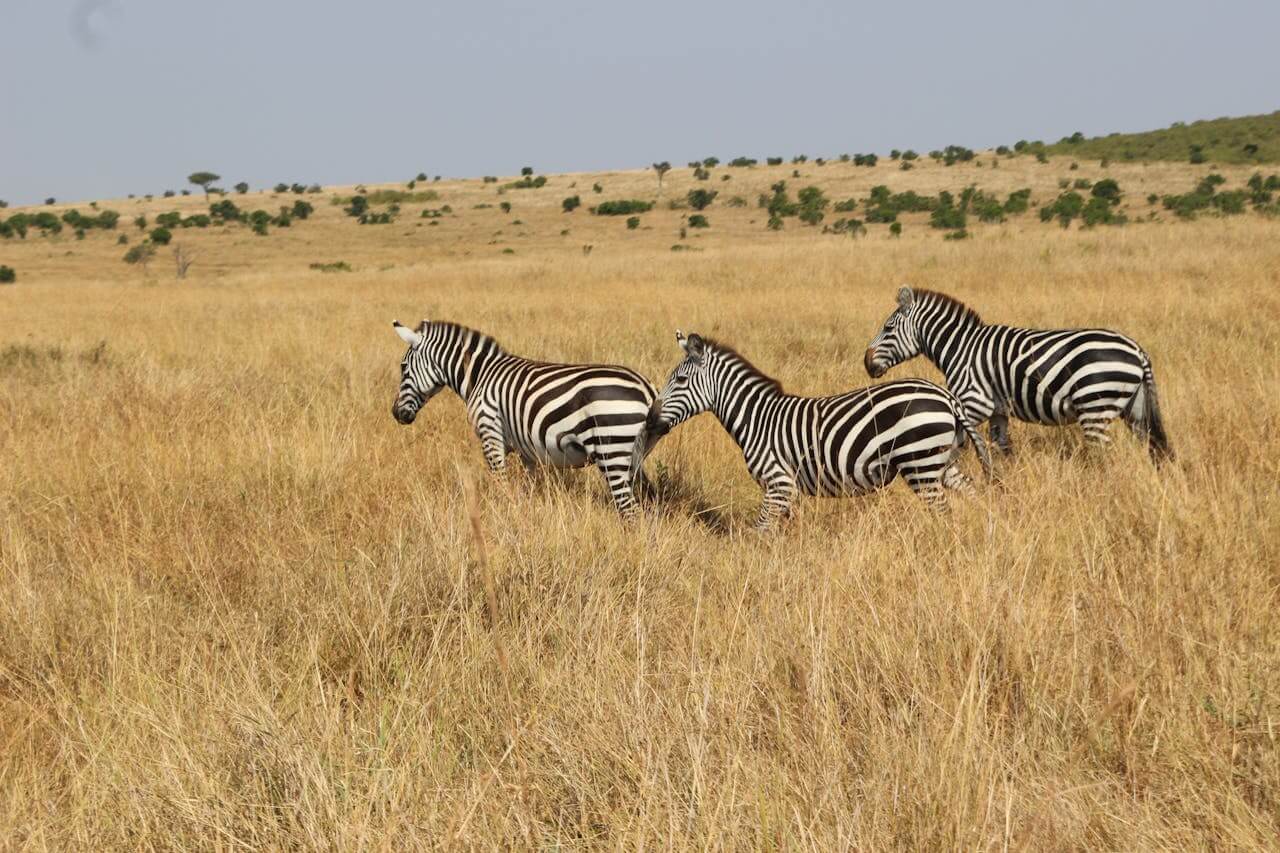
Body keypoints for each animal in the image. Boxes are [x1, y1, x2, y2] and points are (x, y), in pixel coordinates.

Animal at [391, 319, 659, 517]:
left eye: (403, 367)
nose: (396, 414)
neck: (479, 376)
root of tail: (645, 387)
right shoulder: (527, 450)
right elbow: (529, 489)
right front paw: (525, 517)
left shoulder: (490, 433)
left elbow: (500, 483)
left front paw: (503, 517)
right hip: (633, 455)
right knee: (648, 500)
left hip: (610, 450)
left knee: (630, 509)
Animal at [637, 331, 991, 530]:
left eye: (680, 380)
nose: (650, 421)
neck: (756, 418)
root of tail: (945, 395)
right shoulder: (785, 491)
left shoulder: (778, 483)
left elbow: (760, 531)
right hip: (941, 462)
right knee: (973, 496)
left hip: (921, 463)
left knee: (943, 511)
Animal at [864, 286, 1172, 463]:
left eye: (888, 328)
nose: (866, 363)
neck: (960, 347)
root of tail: (1137, 350)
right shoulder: (998, 410)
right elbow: (1002, 449)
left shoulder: (974, 402)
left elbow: (959, 445)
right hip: (1135, 408)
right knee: (1155, 447)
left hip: (1095, 405)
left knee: (1102, 456)